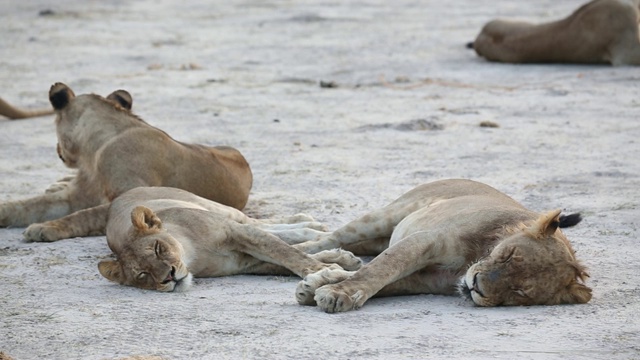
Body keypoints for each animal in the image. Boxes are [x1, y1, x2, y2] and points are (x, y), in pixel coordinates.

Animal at [0, 82, 255, 242]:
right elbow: (28, 205)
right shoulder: (75, 196)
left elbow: (84, 215)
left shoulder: (134, 196)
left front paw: (45, 228)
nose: (57, 149)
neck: (94, 153)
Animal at [99, 187, 360, 292]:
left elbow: (289, 253)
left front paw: (329, 270)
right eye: (143, 275)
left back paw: (311, 225)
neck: (193, 254)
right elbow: (285, 259)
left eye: (157, 248)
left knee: (259, 223)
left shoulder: (236, 232)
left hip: (216, 207)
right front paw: (332, 266)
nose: (169, 277)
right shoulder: (243, 263)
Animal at [292, 179, 592, 312]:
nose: (476, 286)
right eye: (508, 255)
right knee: (331, 237)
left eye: (519, 291)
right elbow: (382, 269)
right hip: (383, 217)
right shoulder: (427, 239)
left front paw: (319, 287)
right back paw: (301, 250)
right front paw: (336, 294)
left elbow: (387, 281)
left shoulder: (428, 281)